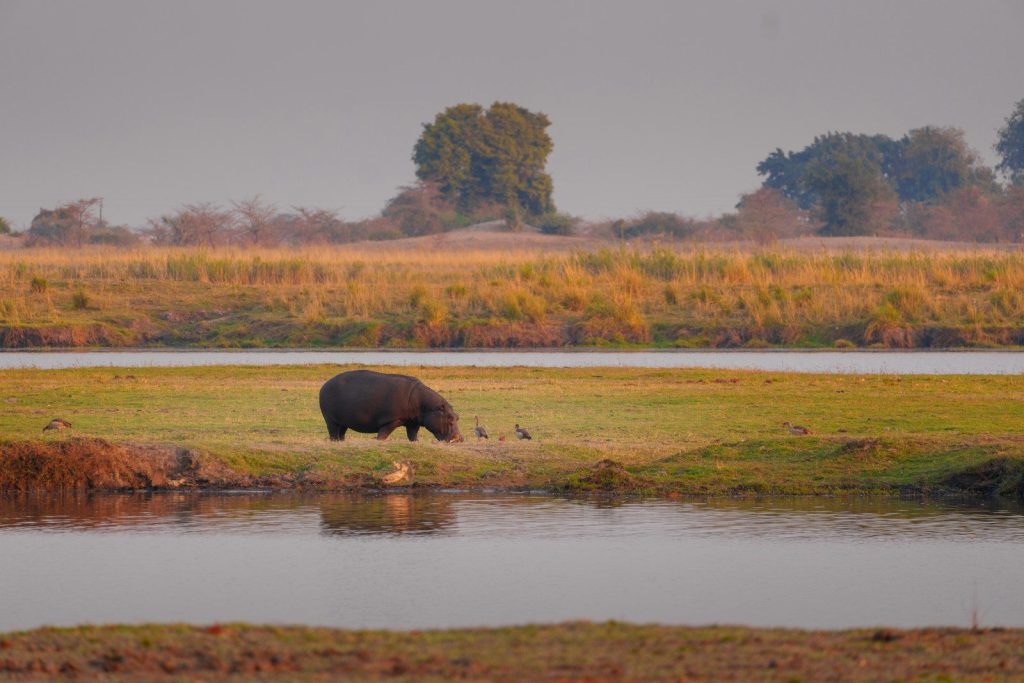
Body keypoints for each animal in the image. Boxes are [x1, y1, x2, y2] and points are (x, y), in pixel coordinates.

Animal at [319, 369, 462, 442]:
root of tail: (325, 384)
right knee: (333, 433)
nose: (460, 439)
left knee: (341, 433)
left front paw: (416, 443)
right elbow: (383, 434)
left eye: (457, 416)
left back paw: (342, 442)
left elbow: (412, 435)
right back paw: (334, 442)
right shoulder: (391, 421)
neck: (426, 405)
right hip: (330, 420)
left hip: (343, 422)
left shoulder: (413, 422)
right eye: (449, 418)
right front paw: (379, 441)